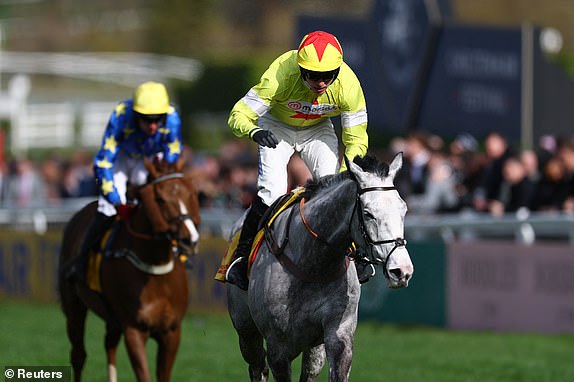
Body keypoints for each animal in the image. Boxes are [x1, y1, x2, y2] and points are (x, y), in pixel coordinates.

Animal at [58, 156, 201, 382]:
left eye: (192, 193)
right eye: (160, 199)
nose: (190, 239)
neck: (156, 271)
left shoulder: (171, 331)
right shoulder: (134, 329)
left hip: (112, 318)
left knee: (109, 345)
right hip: (74, 305)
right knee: (78, 355)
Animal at [227, 153, 416, 382]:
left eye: (403, 210)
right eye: (369, 213)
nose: (402, 271)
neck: (312, 266)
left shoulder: (338, 335)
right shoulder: (277, 348)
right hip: (246, 331)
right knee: (257, 366)